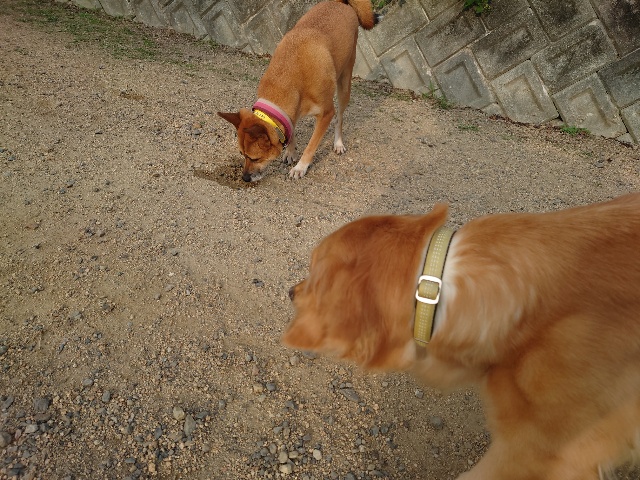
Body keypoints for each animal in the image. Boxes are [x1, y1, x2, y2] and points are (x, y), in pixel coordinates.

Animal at [217, 0, 377, 182]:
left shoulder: (326, 114)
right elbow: (291, 128)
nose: (244, 178)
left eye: (255, 158)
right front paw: (290, 151)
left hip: (344, 83)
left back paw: (338, 143)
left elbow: (311, 145)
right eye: (241, 154)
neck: (287, 78)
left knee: (340, 118)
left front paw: (301, 166)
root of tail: (339, 2)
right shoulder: (290, 113)